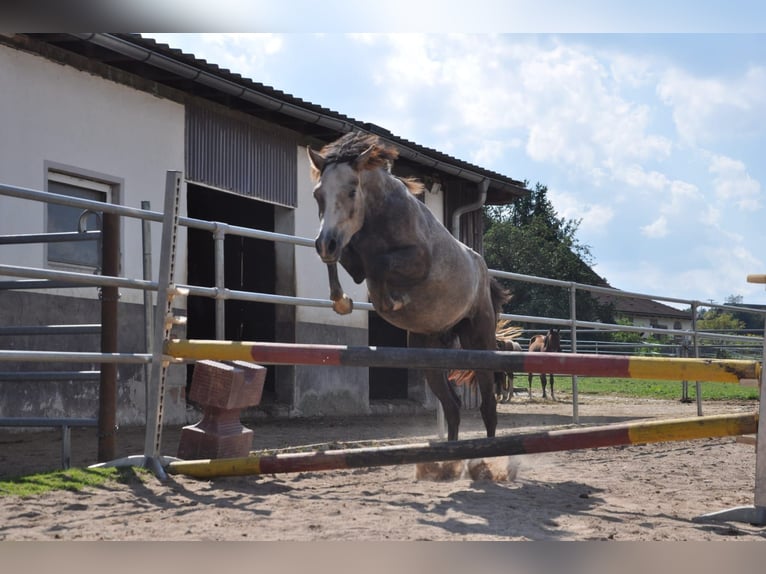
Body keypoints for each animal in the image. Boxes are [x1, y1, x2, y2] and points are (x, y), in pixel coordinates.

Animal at [306, 134, 510, 440]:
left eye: (352, 191)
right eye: (318, 194)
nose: (324, 243)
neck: (379, 215)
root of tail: (484, 273)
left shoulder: (418, 260)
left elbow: (379, 265)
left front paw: (392, 301)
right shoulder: (351, 257)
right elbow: (348, 261)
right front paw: (342, 300)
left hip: (479, 341)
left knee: (487, 406)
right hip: (428, 354)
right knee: (452, 406)